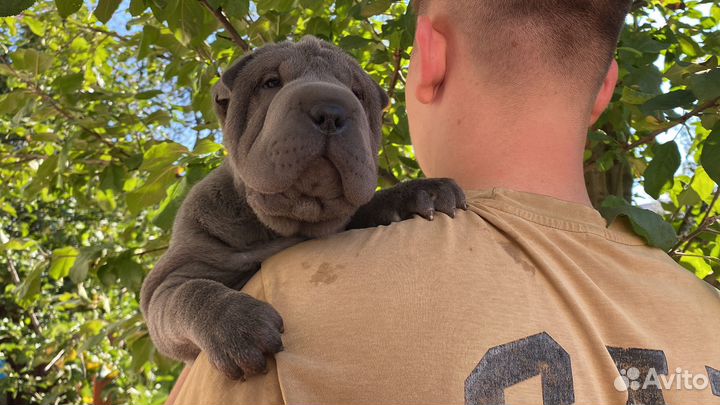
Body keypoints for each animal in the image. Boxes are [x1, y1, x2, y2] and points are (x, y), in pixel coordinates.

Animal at [141, 36, 466, 380]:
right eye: (270, 83)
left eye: (358, 93)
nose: (330, 110)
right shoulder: (171, 277)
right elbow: (190, 293)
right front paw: (239, 326)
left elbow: (364, 207)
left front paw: (421, 192)